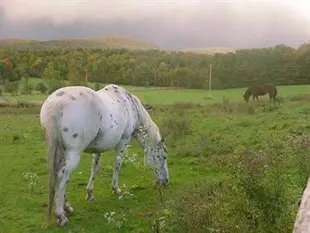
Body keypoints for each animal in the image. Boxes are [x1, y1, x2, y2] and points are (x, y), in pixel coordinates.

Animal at [40, 83, 170, 226]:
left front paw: (90, 194)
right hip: (74, 152)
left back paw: (67, 207)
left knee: (60, 176)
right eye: (163, 157)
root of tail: (56, 104)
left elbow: (95, 168)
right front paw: (116, 189)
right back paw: (61, 216)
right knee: (63, 176)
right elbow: (117, 165)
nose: (165, 181)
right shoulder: (123, 142)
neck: (130, 105)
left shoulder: (98, 148)